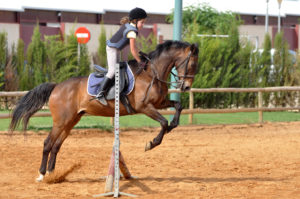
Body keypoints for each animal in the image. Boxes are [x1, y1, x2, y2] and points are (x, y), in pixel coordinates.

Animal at [8, 39, 199, 181]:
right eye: (191, 64)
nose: (186, 87)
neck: (152, 73)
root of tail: (56, 86)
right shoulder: (144, 107)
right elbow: (163, 122)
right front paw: (151, 143)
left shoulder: (159, 103)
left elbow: (178, 107)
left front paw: (173, 126)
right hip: (61, 121)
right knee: (48, 143)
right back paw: (41, 174)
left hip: (71, 121)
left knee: (56, 145)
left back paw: (53, 174)